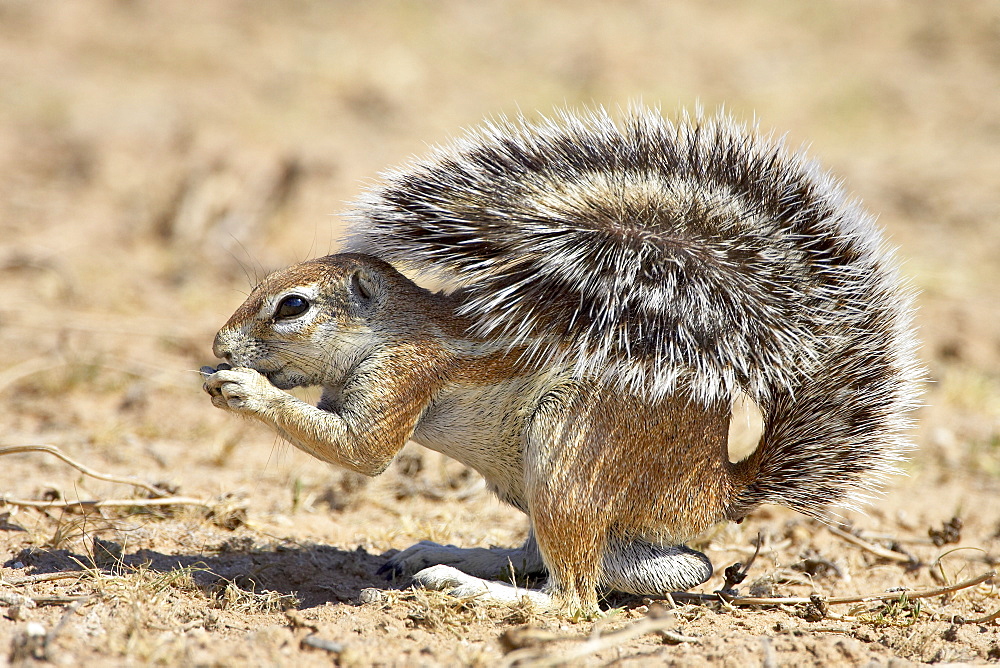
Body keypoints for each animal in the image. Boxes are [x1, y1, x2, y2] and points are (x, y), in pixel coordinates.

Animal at [201, 107, 920, 612]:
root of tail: (720, 486)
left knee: (574, 597)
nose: (219, 347)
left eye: (292, 306)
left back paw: (474, 587)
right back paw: (455, 555)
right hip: (533, 479)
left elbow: (362, 451)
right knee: (620, 564)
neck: (392, 327)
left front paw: (246, 390)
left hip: (568, 454)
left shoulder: (407, 371)